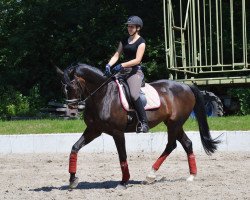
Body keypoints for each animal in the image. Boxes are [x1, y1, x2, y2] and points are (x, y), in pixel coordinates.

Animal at [58, 62, 219, 189]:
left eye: (72, 85)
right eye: (64, 88)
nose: (72, 110)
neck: (103, 95)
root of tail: (186, 86)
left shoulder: (117, 132)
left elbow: (122, 156)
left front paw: (124, 181)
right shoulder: (94, 130)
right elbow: (75, 147)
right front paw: (72, 180)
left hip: (174, 124)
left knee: (171, 145)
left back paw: (151, 175)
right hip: (174, 124)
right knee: (187, 143)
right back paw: (191, 175)